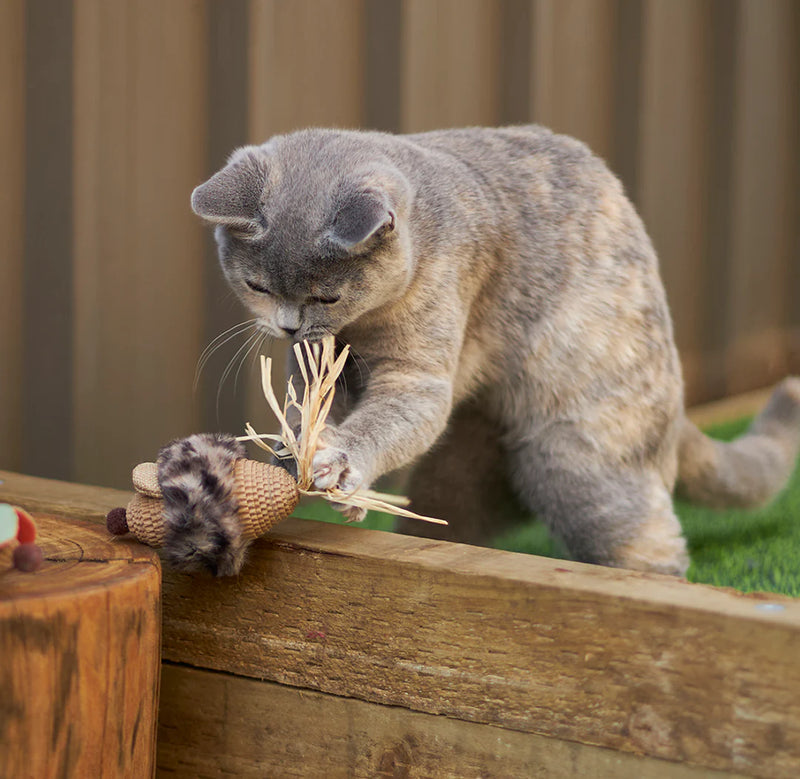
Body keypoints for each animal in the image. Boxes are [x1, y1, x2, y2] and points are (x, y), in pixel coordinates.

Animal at [159, 126, 800, 580]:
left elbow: (388, 416)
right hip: (457, 472)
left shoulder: (418, 371)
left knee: (646, 536)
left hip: (579, 454)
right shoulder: (317, 365)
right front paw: (299, 454)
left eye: (327, 295)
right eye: (257, 286)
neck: (363, 328)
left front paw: (338, 465)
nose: (289, 325)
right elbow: (308, 406)